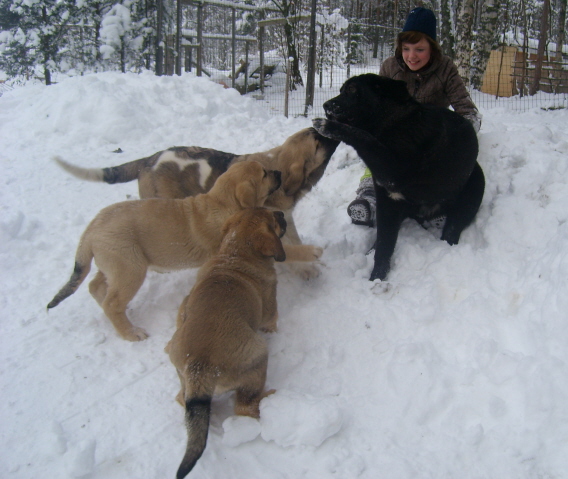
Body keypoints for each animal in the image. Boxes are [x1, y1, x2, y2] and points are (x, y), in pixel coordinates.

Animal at [46, 163, 298, 344]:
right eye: (264, 174)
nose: (278, 172)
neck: (221, 202)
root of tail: (90, 230)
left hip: (115, 263)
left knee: (96, 286)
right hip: (130, 267)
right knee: (111, 302)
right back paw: (131, 333)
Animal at [166, 209, 318, 479]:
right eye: (274, 220)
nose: (281, 212)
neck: (234, 253)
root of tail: (199, 368)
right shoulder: (269, 314)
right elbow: (272, 323)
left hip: (182, 375)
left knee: (182, 399)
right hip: (258, 357)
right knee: (245, 408)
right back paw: (268, 401)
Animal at [312, 74, 486, 282]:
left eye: (352, 90)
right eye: (341, 90)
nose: (326, 105)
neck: (392, 123)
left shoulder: (394, 170)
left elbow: (363, 137)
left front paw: (328, 126)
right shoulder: (388, 200)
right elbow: (384, 244)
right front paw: (377, 277)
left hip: (471, 193)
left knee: (452, 231)